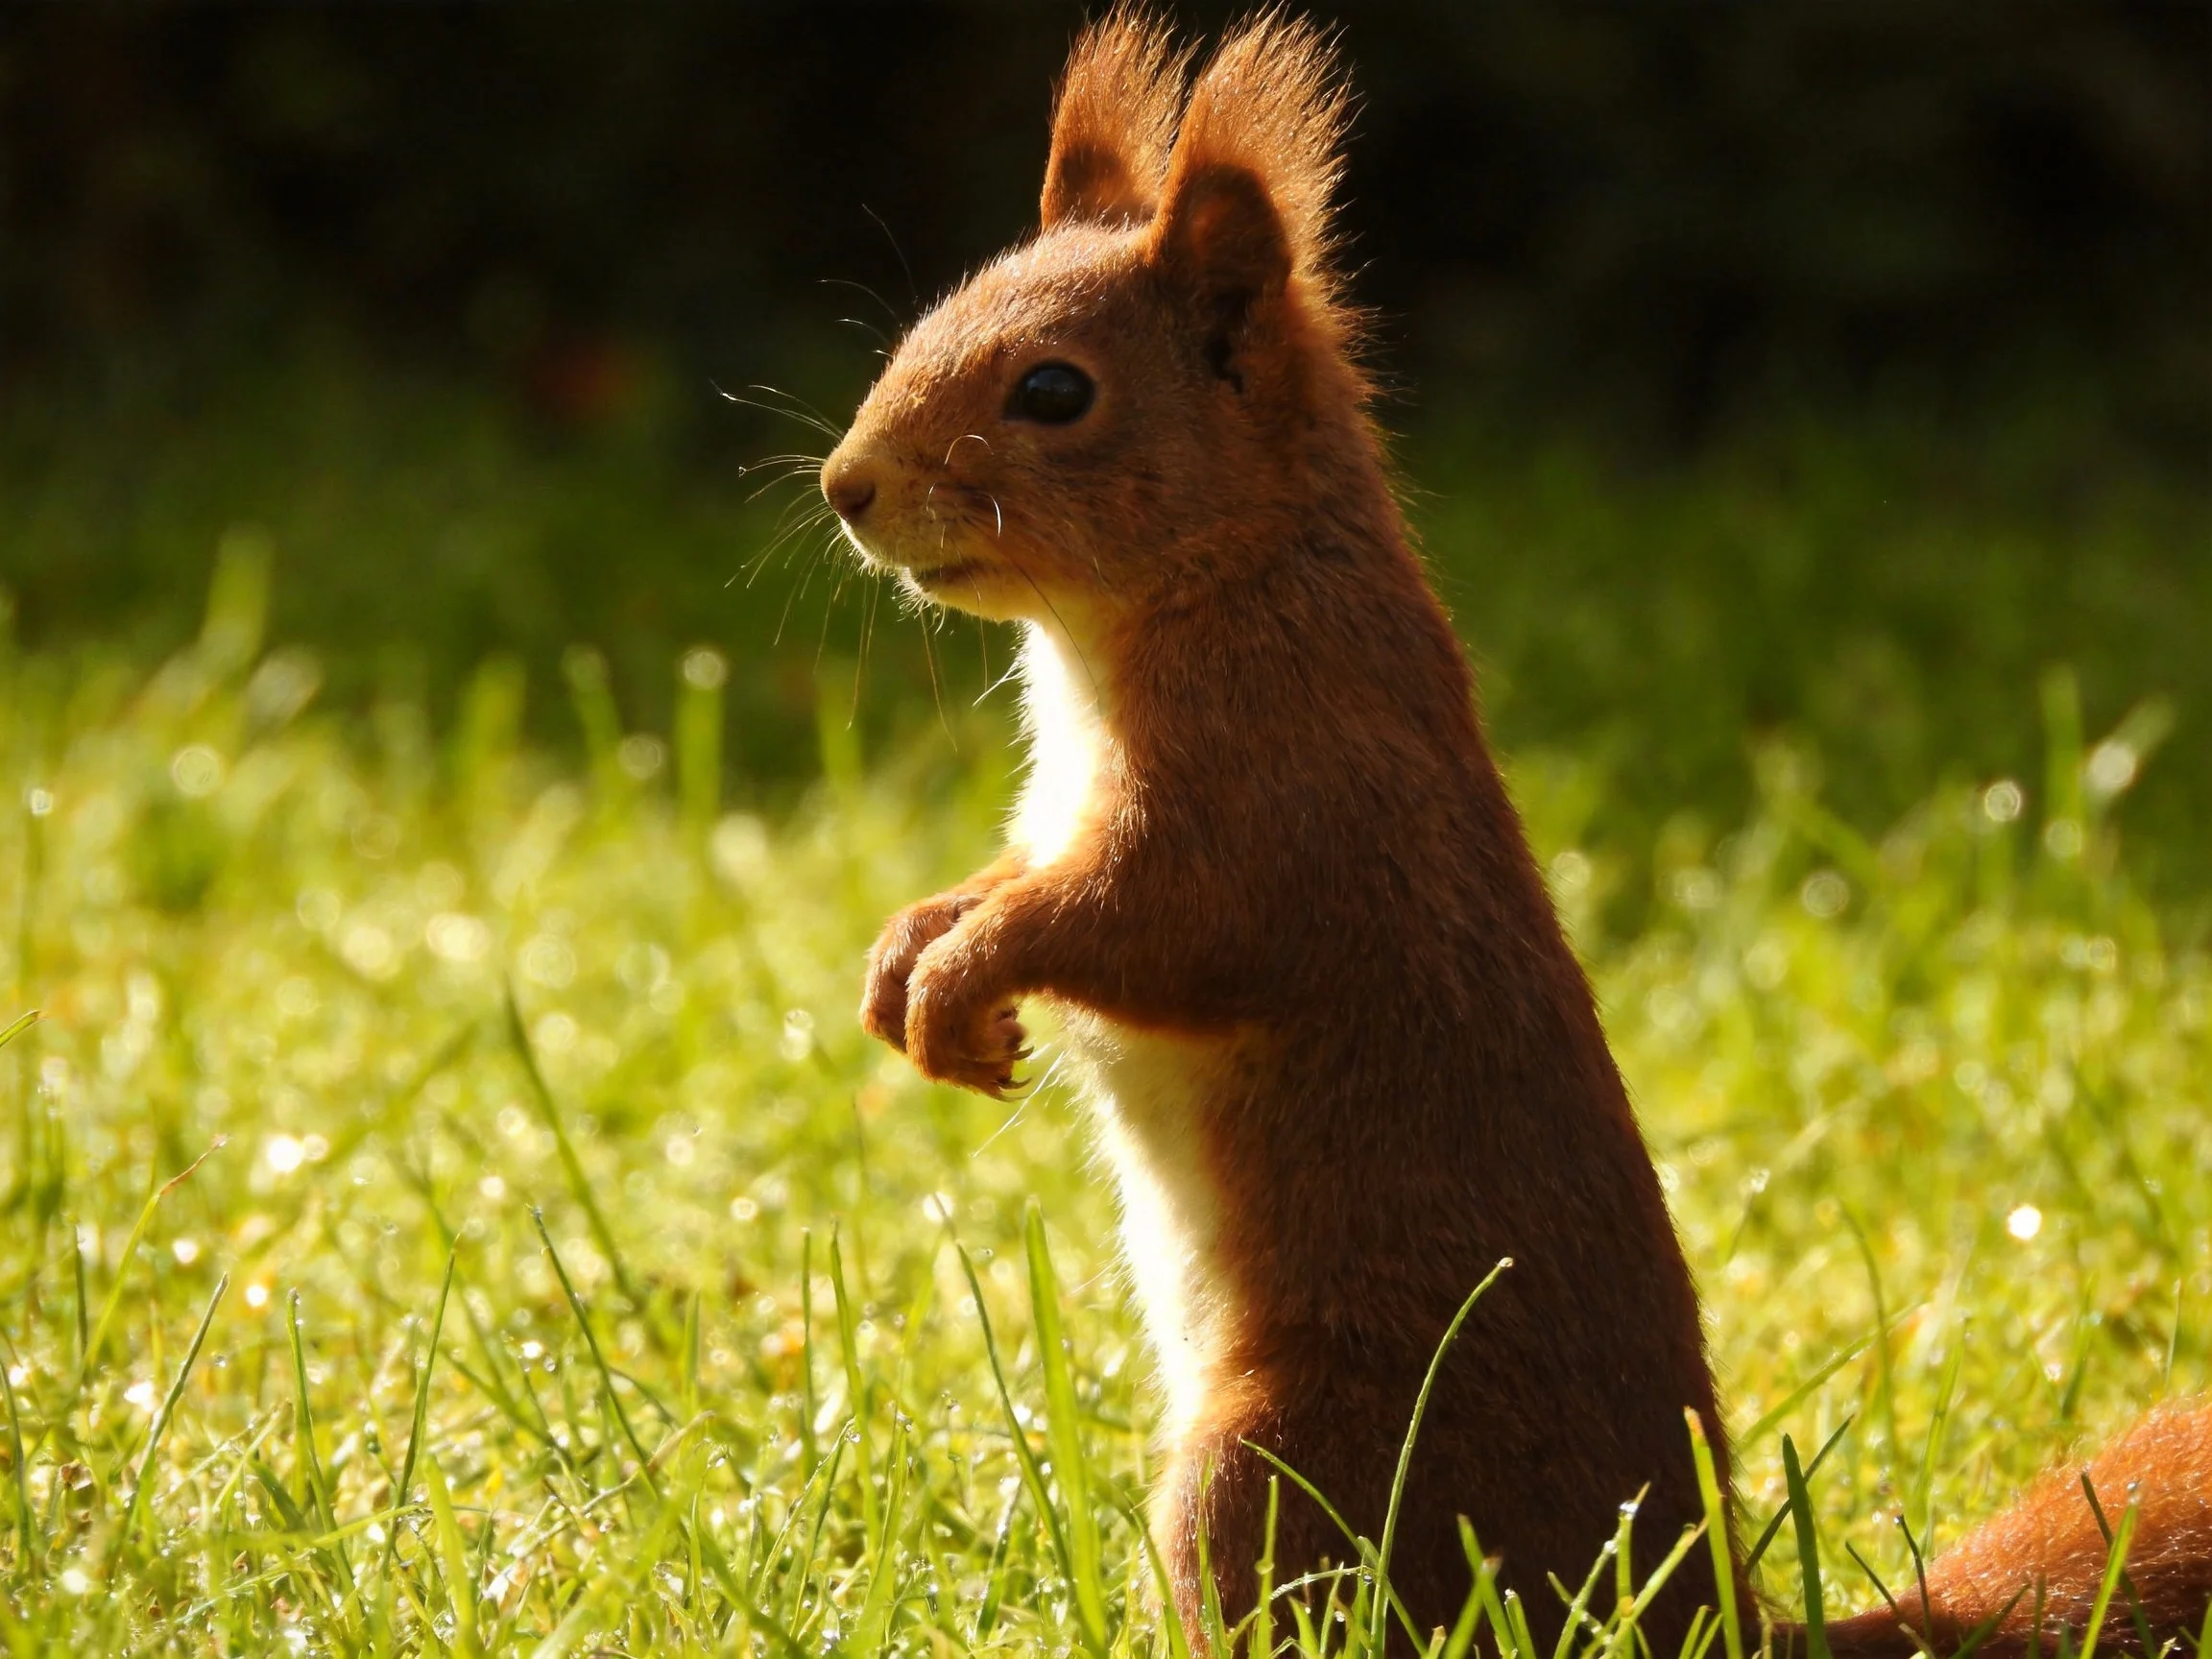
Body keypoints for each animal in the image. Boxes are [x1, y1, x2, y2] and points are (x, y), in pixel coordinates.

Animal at [818, 11, 2212, 1653]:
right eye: (933, 312)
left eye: (1053, 392)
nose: (847, 489)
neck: (1200, 593)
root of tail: (1694, 1604)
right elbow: (1014, 879)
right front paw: (913, 955)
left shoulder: (1287, 809)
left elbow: (1147, 924)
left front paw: (964, 973)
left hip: (1287, 1460)